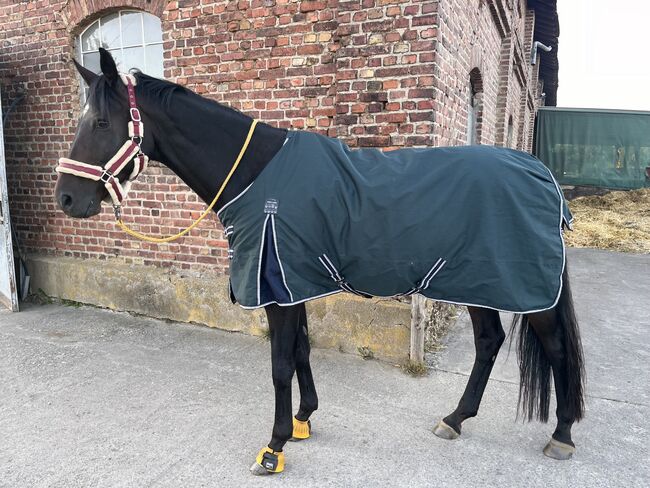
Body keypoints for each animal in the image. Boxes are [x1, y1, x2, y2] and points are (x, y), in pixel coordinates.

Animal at [54, 48, 584, 472]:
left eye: (101, 123)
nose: (66, 198)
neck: (256, 174)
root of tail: (541, 175)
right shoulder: (294, 282)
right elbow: (303, 352)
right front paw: (304, 418)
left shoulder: (278, 288)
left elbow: (279, 365)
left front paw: (274, 447)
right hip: (476, 282)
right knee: (489, 342)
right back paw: (454, 419)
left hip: (518, 288)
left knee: (556, 350)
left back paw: (561, 435)